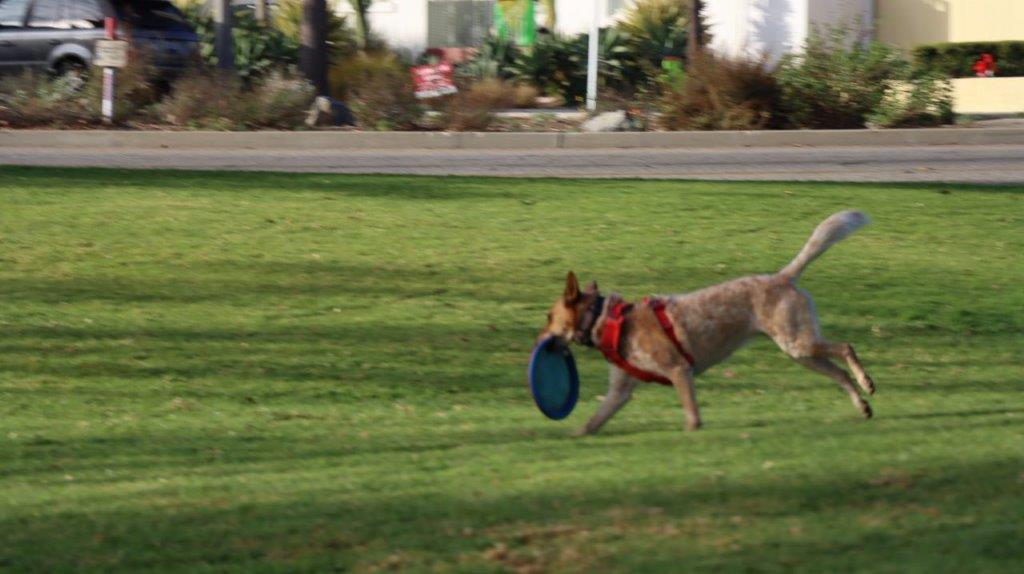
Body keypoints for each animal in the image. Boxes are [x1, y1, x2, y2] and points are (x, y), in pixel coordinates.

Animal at [540, 210, 876, 433]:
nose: (539, 341)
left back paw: (867, 383)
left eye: (548, 317)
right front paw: (574, 438)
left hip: (797, 343)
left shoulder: (679, 369)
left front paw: (693, 433)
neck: (605, 319)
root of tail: (783, 277)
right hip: (801, 353)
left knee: (846, 347)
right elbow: (591, 423)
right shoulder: (619, 391)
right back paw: (862, 405)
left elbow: (692, 417)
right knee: (839, 373)